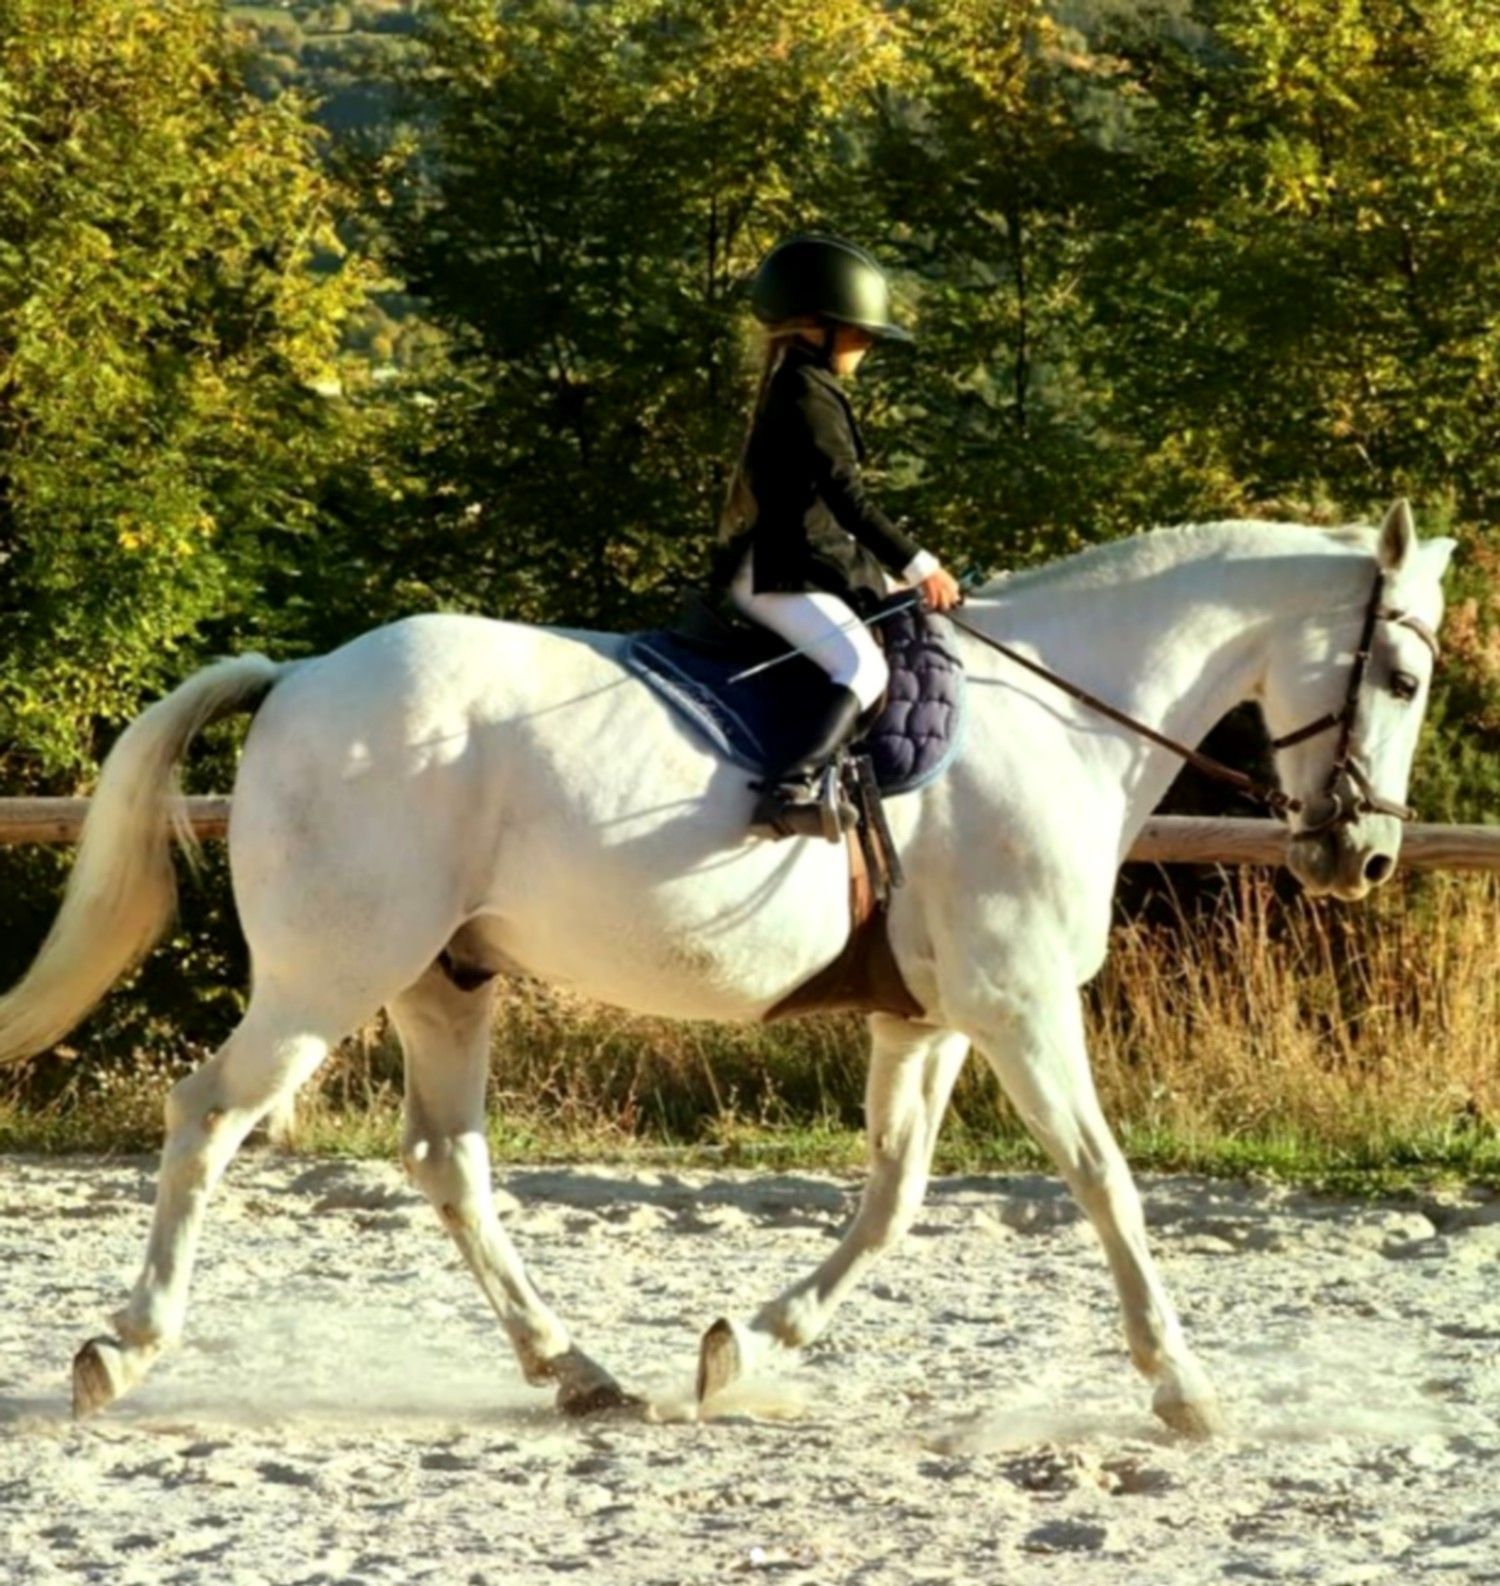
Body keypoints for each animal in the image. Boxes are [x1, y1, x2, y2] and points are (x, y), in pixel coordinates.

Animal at [0, 503, 1453, 1436]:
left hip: (443, 977)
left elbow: (893, 1196)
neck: (1058, 712)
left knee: (447, 1160)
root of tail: (299, 676)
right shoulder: (1021, 1004)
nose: (1366, 855)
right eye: (1396, 669)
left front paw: (739, 1348)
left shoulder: (928, 1019)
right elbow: (1106, 1181)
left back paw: (581, 1370)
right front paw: (1184, 1388)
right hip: (330, 975)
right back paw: (120, 1351)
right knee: (210, 1114)